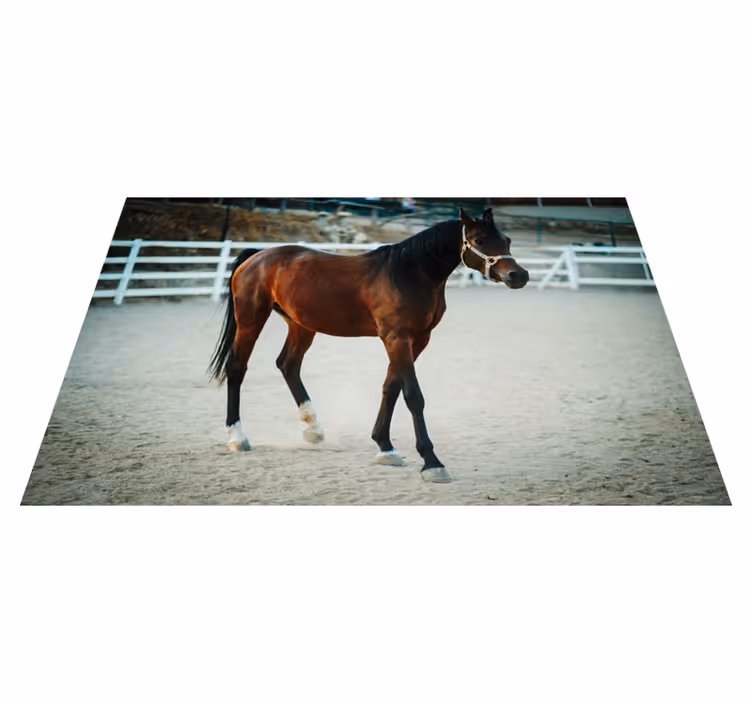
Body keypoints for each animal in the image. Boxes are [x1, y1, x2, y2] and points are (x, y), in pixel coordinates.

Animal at [209, 207, 529, 482]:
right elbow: (413, 396)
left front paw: (385, 447)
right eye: (479, 240)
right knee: (237, 368)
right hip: (251, 320)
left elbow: (391, 387)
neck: (410, 273)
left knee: (288, 365)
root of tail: (257, 256)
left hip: (301, 326)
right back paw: (237, 438)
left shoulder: (417, 340)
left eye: (507, 240)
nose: (519, 275)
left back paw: (313, 429)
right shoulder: (397, 338)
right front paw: (431, 463)